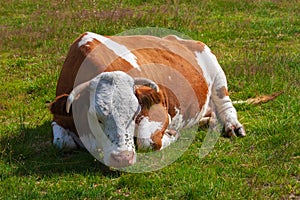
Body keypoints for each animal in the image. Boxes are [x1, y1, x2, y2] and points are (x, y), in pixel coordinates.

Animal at [49, 31, 246, 169]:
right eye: (97, 118)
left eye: (134, 114)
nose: (123, 158)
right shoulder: (59, 118)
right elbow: (62, 142)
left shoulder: (158, 112)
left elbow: (146, 142)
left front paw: (172, 135)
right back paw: (207, 121)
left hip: (216, 74)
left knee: (226, 106)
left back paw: (233, 126)